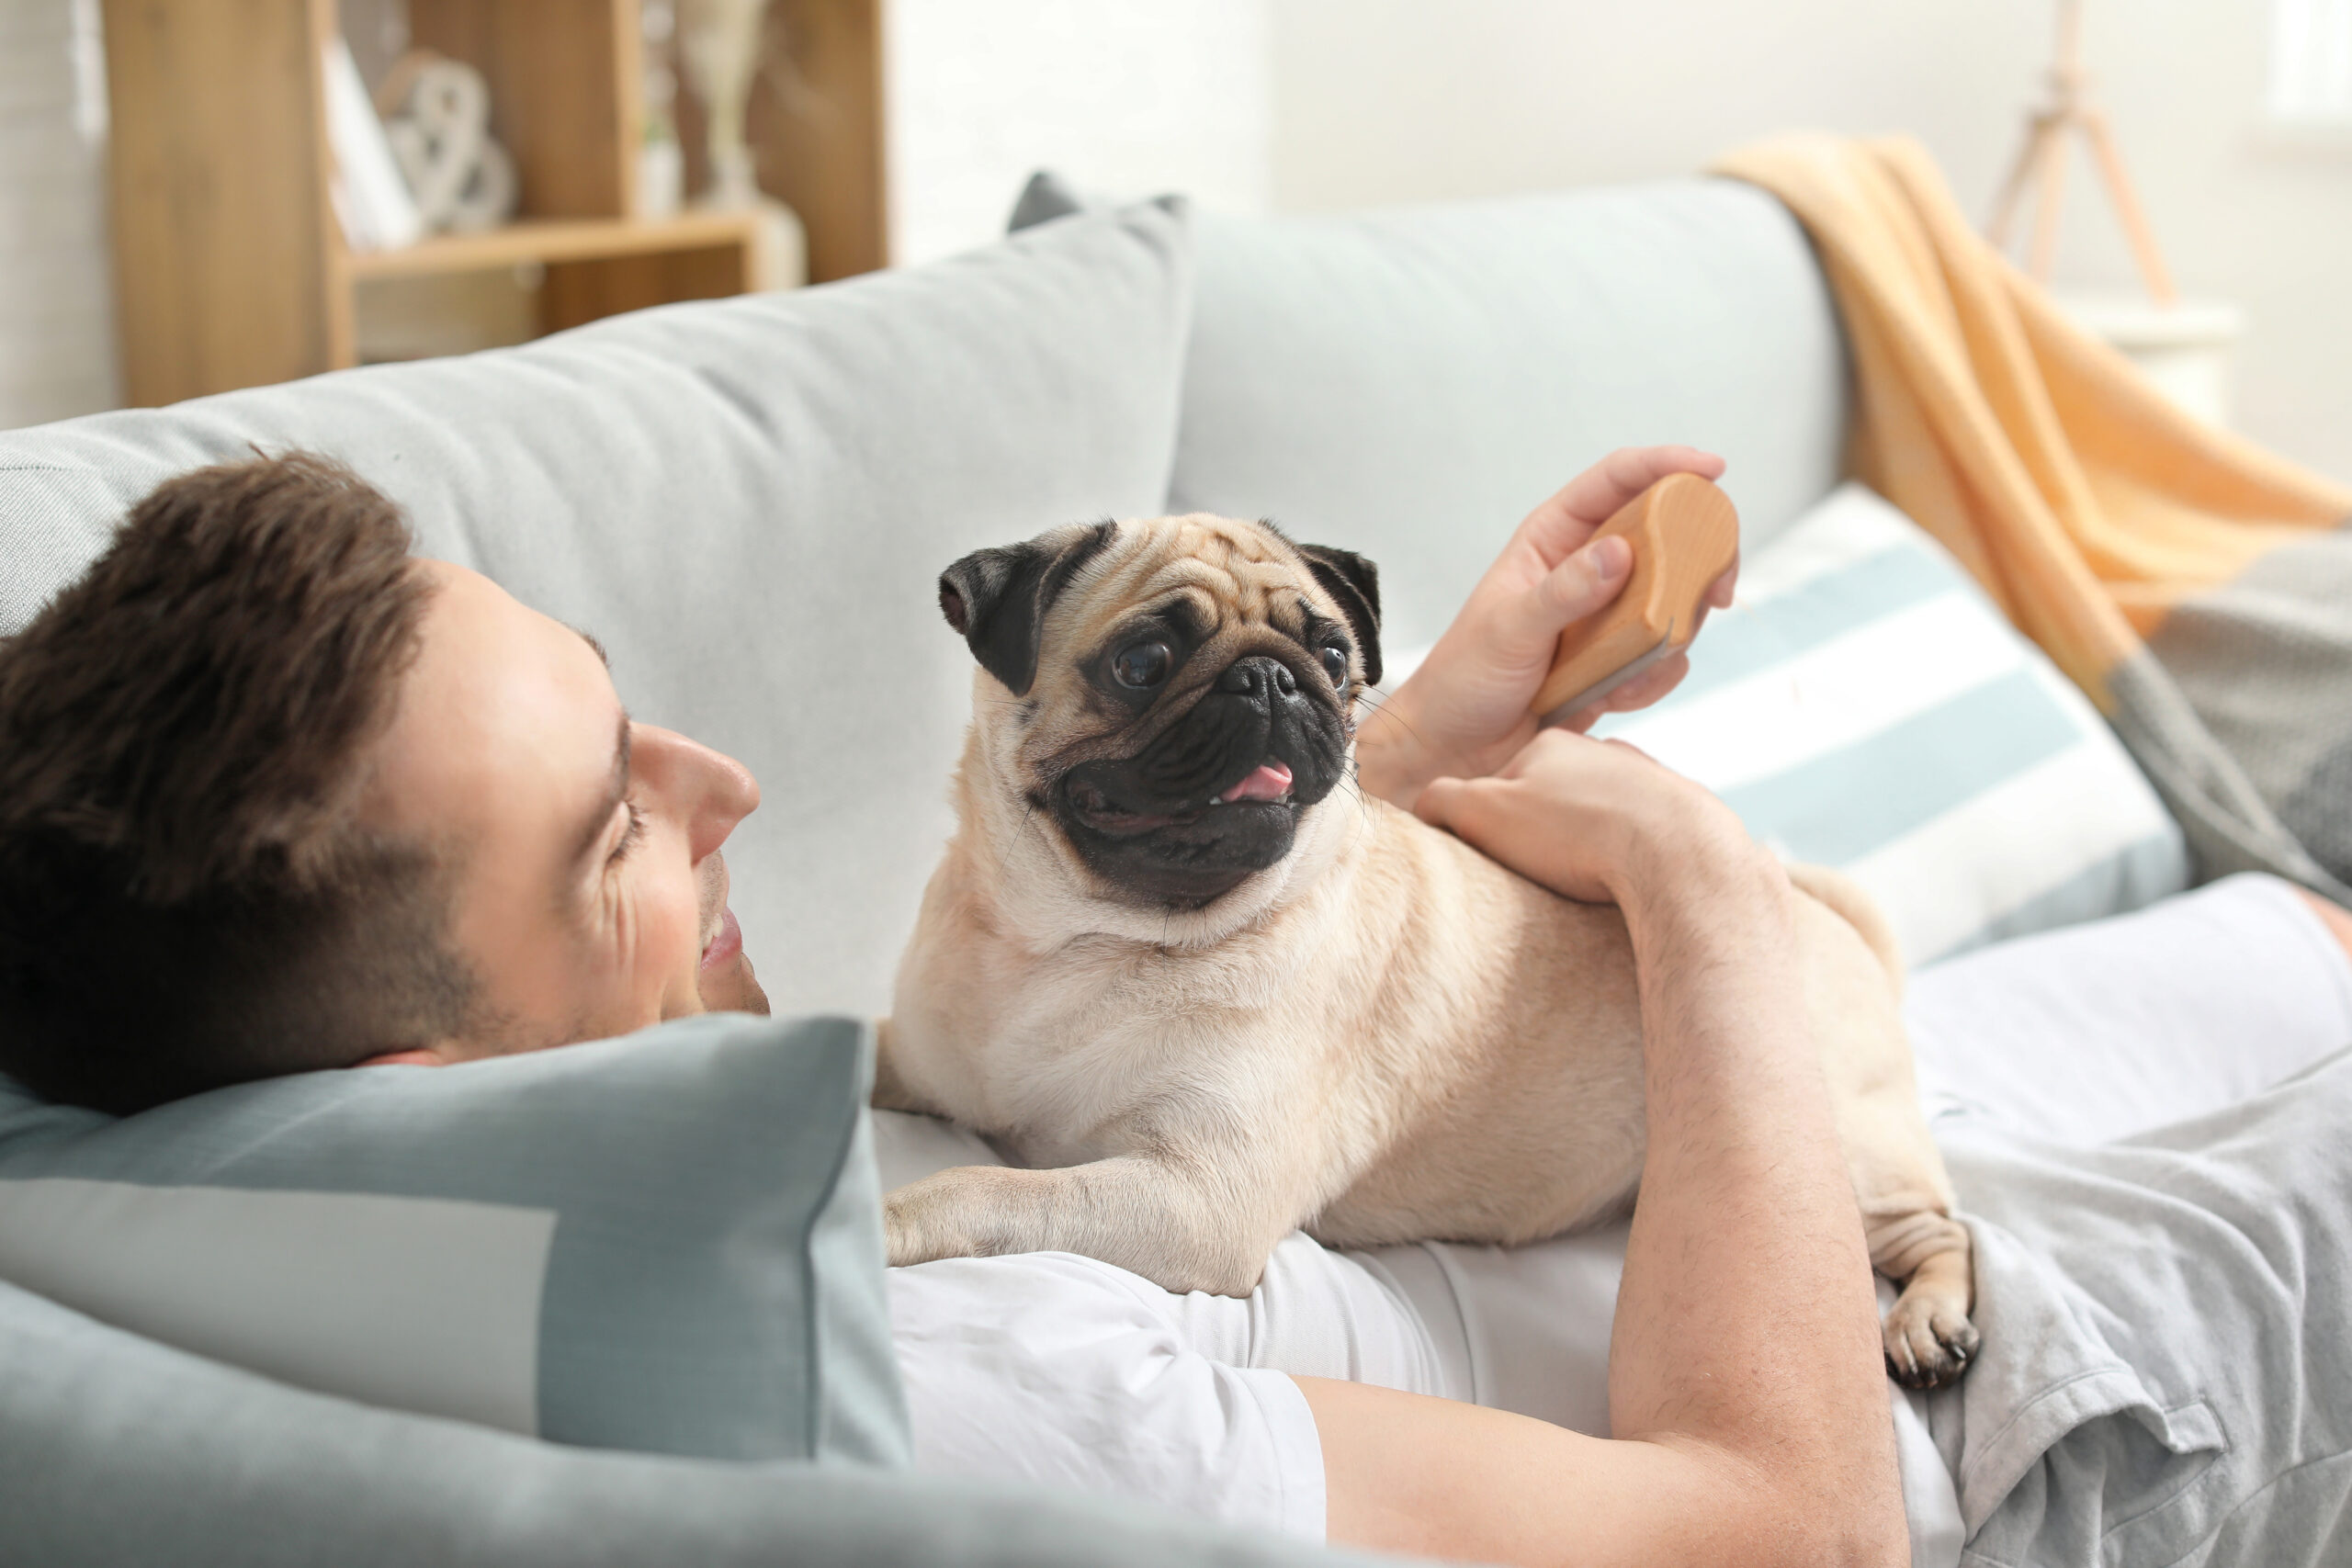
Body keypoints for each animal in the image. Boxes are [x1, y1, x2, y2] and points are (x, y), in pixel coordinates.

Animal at [875, 512, 1975, 1382]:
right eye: (1139, 664)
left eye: (1332, 659)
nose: (1272, 679)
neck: (1073, 940)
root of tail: (1827, 921)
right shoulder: (921, 1055)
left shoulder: (1196, 1198)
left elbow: (989, 1185)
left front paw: (886, 1217)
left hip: (1841, 1145)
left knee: (1942, 1226)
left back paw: (1928, 1322)